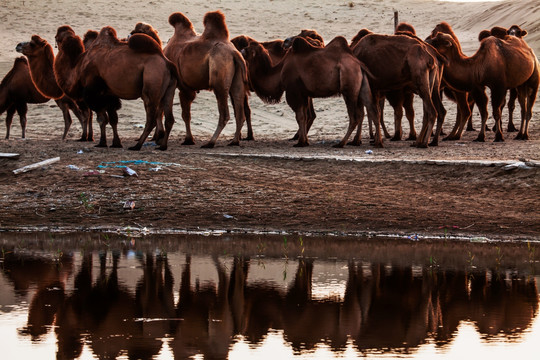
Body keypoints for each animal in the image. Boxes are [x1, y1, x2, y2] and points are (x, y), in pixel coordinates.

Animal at [165, 10, 249, 148]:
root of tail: (234, 53)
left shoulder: (183, 87)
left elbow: (185, 115)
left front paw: (188, 140)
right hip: (238, 80)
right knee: (240, 111)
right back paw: (234, 141)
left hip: (219, 76)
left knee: (224, 113)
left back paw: (210, 142)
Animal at [240, 36, 380, 148]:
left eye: (247, 49)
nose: (240, 51)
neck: (280, 72)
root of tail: (358, 64)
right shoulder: (304, 93)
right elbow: (305, 115)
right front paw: (305, 141)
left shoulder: (293, 91)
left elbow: (300, 116)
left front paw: (301, 142)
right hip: (361, 85)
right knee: (370, 110)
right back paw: (374, 142)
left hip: (349, 88)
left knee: (354, 116)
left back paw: (341, 143)